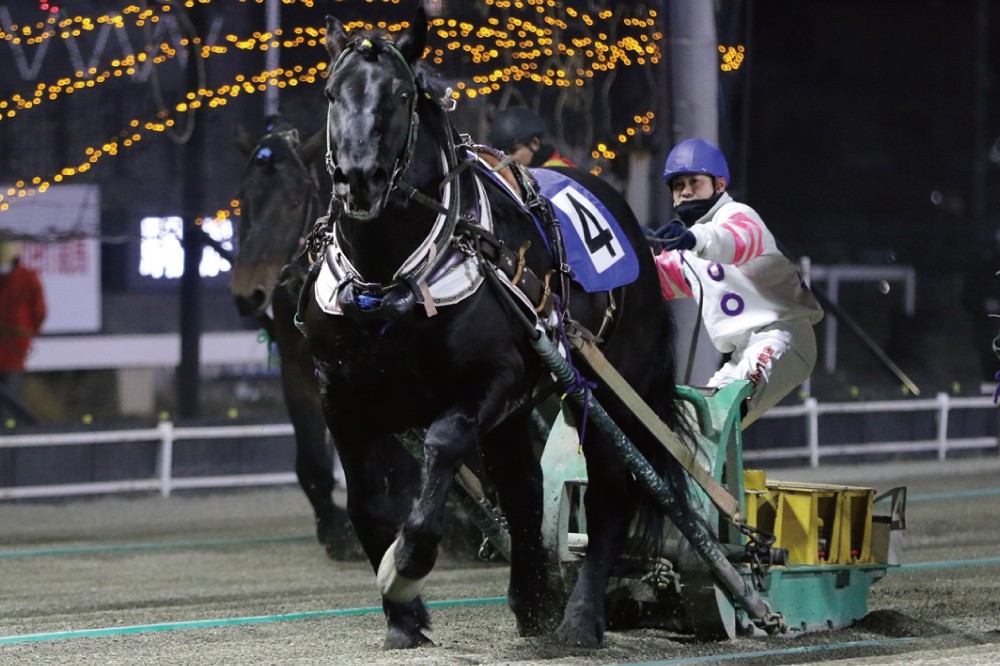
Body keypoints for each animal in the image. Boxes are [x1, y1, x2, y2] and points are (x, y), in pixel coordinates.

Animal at [230, 119, 420, 558]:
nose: (248, 293)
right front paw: (335, 529)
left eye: (295, 202)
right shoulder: (298, 369)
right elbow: (313, 462)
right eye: (243, 200)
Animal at [298, 8, 702, 648]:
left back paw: (580, 619)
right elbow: (366, 501)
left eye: (402, 94)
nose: (359, 179)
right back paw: (534, 600)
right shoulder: (340, 394)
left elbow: (441, 448)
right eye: (332, 93)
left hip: (607, 392)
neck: (391, 280)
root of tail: (634, 227)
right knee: (522, 488)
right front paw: (403, 620)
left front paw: (406, 567)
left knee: (612, 493)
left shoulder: (494, 379)